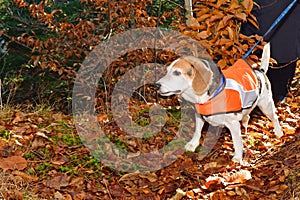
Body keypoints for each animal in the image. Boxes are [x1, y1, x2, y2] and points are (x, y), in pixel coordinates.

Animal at [156, 43, 284, 162]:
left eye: (177, 73)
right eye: (168, 71)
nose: (156, 85)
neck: (209, 97)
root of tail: (260, 71)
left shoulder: (233, 123)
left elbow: (237, 141)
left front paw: (238, 157)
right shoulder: (199, 115)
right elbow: (197, 131)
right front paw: (193, 144)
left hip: (266, 105)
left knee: (274, 118)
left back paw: (279, 133)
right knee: (246, 117)